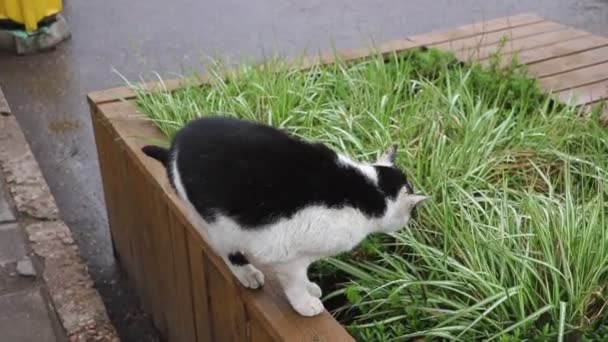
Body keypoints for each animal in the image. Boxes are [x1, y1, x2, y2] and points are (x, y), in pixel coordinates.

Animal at [142, 116, 428, 316]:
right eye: (411, 212)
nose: (409, 224)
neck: (367, 191)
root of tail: (174, 146)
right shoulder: (288, 255)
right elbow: (295, 282)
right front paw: (306, 303)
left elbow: (306, 275)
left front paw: (311, 287)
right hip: (220, 225)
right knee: (227, 251)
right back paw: (248, 274)